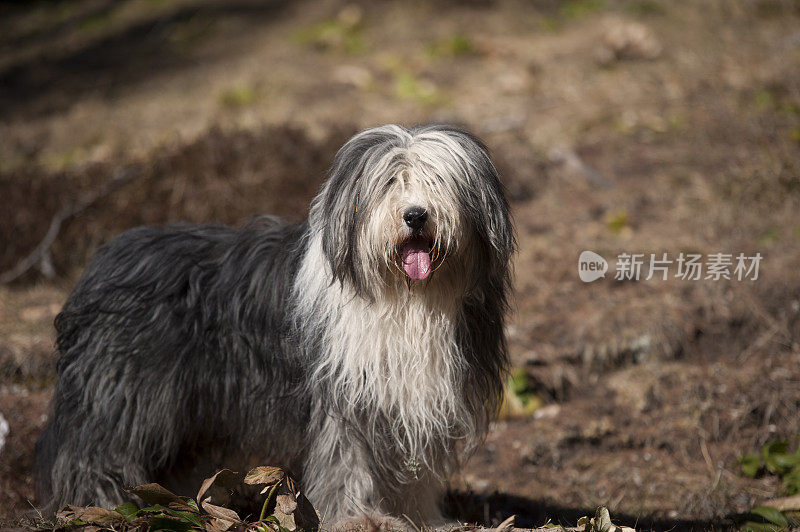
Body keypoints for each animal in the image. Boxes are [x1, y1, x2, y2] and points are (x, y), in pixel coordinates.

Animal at [36, 124, 512, 528]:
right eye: (391, 181)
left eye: (439, 182)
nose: (415, 216)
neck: (406, 298)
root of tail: (101, 260)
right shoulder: (339, 397)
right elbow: (345, 460)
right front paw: (356, 518)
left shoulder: (418, 396)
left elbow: (415, 471)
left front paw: (421, 519)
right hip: (122, 391)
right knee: (92, 449)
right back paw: (100, 505)